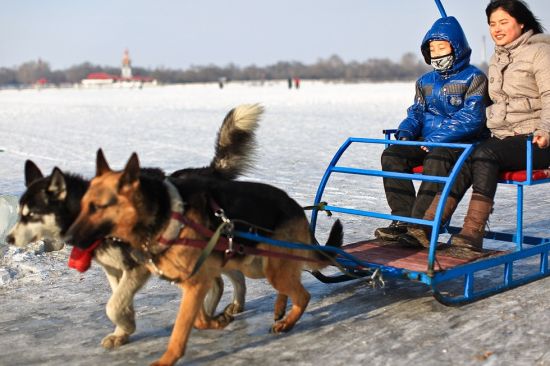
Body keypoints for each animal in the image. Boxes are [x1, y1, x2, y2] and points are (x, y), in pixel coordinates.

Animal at [4, 105, 264, 348]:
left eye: (31, 215)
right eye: (20, 214)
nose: (8, 239)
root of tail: (208, 171)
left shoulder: (137, 267)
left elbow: (112, 305)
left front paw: (125, 327)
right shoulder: (114, 268)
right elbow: (119, 301)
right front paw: (123, 331)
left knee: (224, 278)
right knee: (227, 277)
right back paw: (221, 309)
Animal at [66, 147, 344, 364]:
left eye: (97, 207)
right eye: (82, 205)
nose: (68, 238)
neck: (167, 215)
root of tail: (295, 205)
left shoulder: (196, 284)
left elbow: (180, 330)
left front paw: (165, 360)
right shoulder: (193, 283)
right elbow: (198, 319)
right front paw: (219, 321)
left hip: (271, 268)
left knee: (303, 295)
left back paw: (287, 322)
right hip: (258, 265)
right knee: (288, 286)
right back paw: (279, 310)